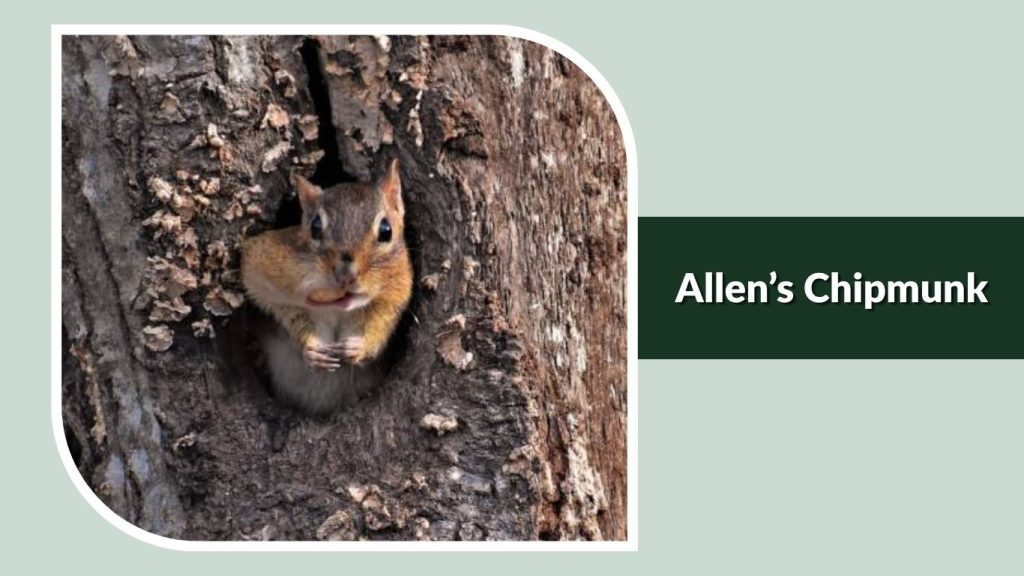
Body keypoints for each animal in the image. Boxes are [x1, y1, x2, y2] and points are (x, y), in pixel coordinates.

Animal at [241, 159, 413, 414]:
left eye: (386, 230)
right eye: (315, 226)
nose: (345, 276)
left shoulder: (396, 294)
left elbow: (380, 326)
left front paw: (357, 348)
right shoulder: (264, 266)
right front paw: (312, 350)